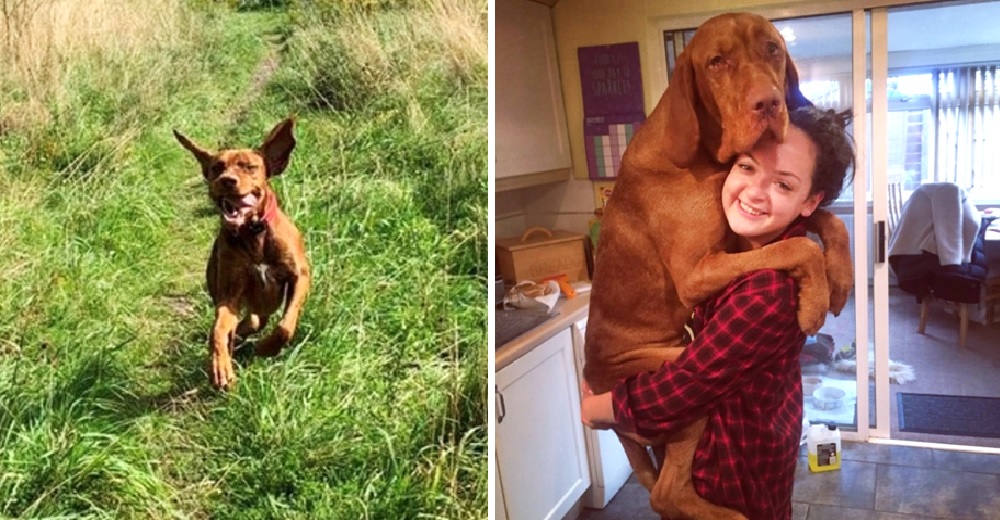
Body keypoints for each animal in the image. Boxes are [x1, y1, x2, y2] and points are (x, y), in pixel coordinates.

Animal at [174, 118, 310, 390]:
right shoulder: (229, 294)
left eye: (249, 167)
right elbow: (217, 331)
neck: (253, 233)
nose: (227, 180)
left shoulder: (300, 276)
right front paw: (220, 367)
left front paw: (267, 348)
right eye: (217, 167)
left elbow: (285, 326)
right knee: (242, 325)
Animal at [584, 12, 852, 520]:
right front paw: (814, 303)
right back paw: (729, 513)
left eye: (772, 49)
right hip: (682, 379)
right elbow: (794, 248)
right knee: (663, 491)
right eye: (716, 62)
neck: (706, 158)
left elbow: (824, 220)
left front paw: (841, 279)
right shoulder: (697, 271)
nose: (768, 103)